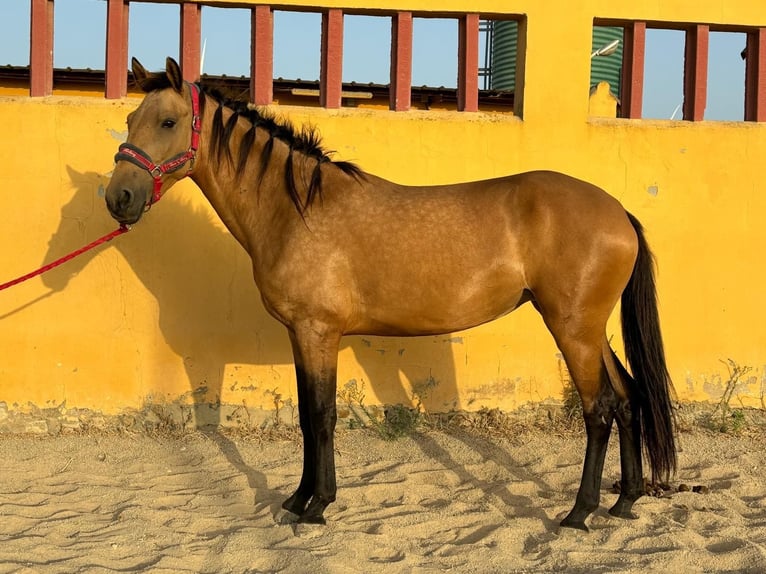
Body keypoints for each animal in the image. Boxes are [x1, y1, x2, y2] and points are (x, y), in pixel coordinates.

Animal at [105, 57, 676, 532]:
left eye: (168, 122)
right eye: (131, 119)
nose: (119, 197)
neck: (295, 209)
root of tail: (617, 211)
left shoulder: (318, 331)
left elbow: (321, 415)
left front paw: (316, 506)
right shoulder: (300, 334)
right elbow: (307, 416)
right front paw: (296, 500)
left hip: (571, 328)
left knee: (599, 408)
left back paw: (579, 513)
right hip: (590, 328)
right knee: (628, 397)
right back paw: (624, 501)